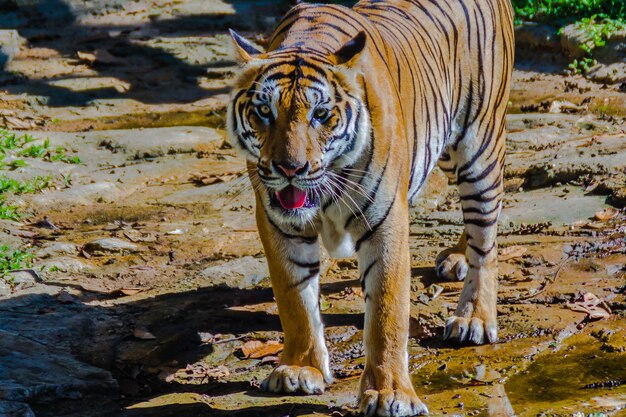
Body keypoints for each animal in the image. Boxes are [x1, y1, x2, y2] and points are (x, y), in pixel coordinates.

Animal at [227, 0, 510, 412]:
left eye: (320, 115)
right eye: (265, 112)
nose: (289, 168)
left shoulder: (385, 220)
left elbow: (387, 314)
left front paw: (391, 393)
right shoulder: (279, 222)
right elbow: (294, 300)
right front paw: (300, 369)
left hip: (478, 147)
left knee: (485, 234)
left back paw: (473, 317)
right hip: (444, 152)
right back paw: (457, 256)